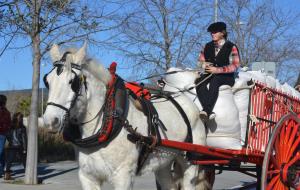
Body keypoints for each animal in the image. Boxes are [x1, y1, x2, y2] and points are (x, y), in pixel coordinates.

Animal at [42, 43, 211, 190]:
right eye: (47, 81)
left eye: (72, 81)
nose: (50, 121)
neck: (107, 122)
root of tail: (188, 102)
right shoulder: (87, 177)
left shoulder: (123, 176)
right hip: (163, 163)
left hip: (190, 161)